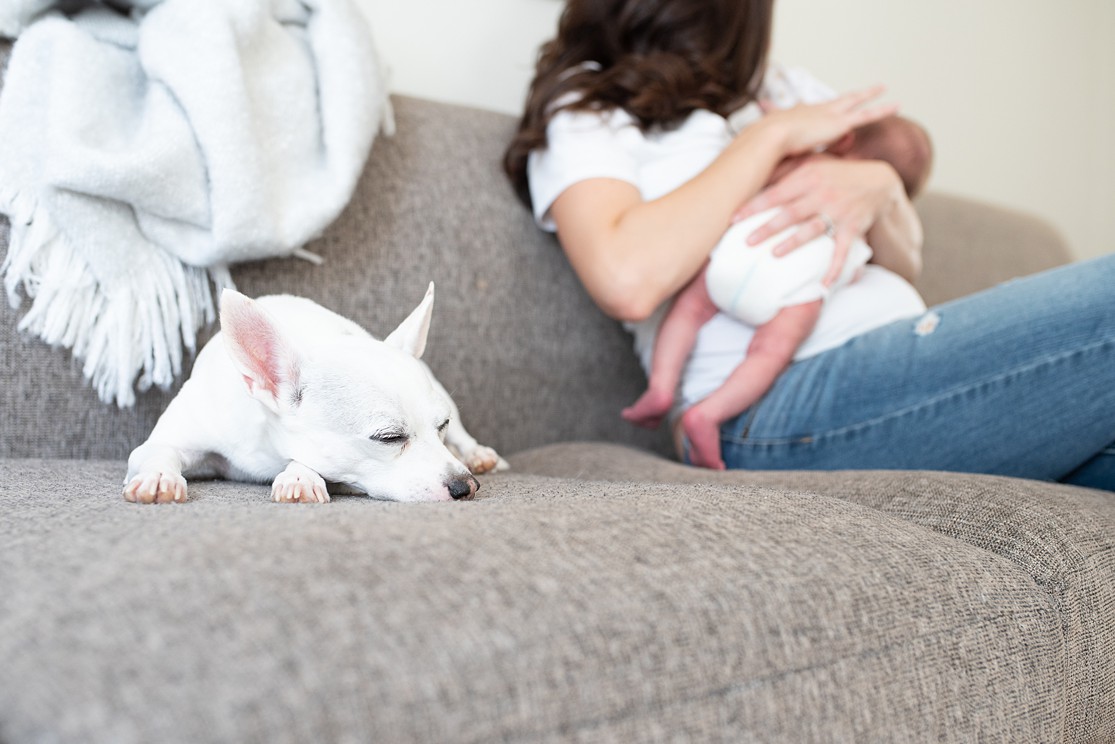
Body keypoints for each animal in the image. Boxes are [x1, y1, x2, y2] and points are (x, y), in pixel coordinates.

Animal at [123, 285, 506, 506]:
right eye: (389, 438)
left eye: (441, 426)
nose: (466, 486)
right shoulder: (163, 442)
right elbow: (158, 452)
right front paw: (158, 477)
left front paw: (298, 476)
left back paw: (478, 454)